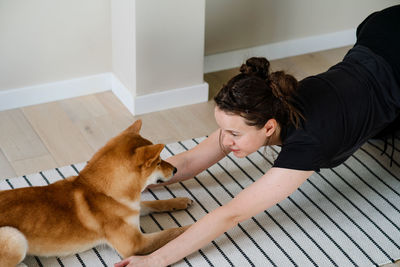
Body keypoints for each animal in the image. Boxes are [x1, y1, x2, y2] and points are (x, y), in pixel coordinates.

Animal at [0, 121, 192, 267]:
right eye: (158, 162)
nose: (176, 169)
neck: (103, 190)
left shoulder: (133, 209)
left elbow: (153, 203)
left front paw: (180, 201)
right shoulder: (135, 244)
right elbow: (173, 232)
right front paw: (192, 228)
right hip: (15, 238)